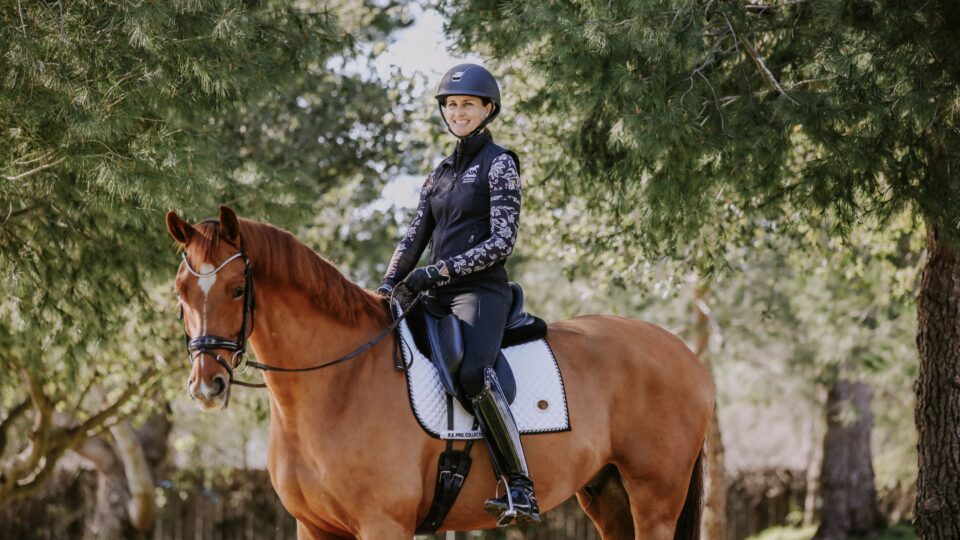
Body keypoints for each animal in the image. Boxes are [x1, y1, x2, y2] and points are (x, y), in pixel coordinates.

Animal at [165, 206, 714, 540]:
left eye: (238, 289)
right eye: (180, 291)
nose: (207, 386)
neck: (339, 385)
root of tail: (684, 353)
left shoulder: (383, 524)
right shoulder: (314, 527)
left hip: (655, 499)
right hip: (608, 494)